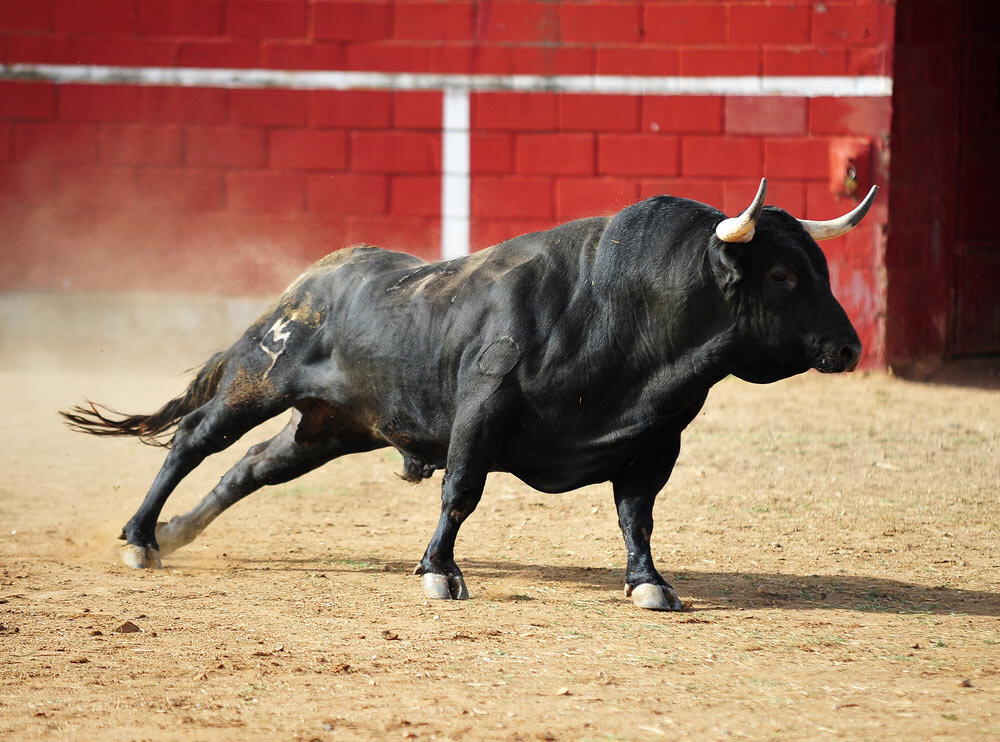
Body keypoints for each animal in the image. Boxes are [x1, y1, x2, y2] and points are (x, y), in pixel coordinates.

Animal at [62, 180, 876, 612]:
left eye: (821, 266)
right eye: (782, 275)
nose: (848, 348)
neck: (621, 309)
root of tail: (312, 279)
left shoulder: (654, 441)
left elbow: (636, 516)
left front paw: (650, 584)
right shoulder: (483, 410)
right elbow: (461, 491)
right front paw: (437, 572)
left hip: (329, 428)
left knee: (251, 468)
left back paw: (176, 533)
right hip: (257, 380)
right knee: (197, 440)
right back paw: (140, 539)